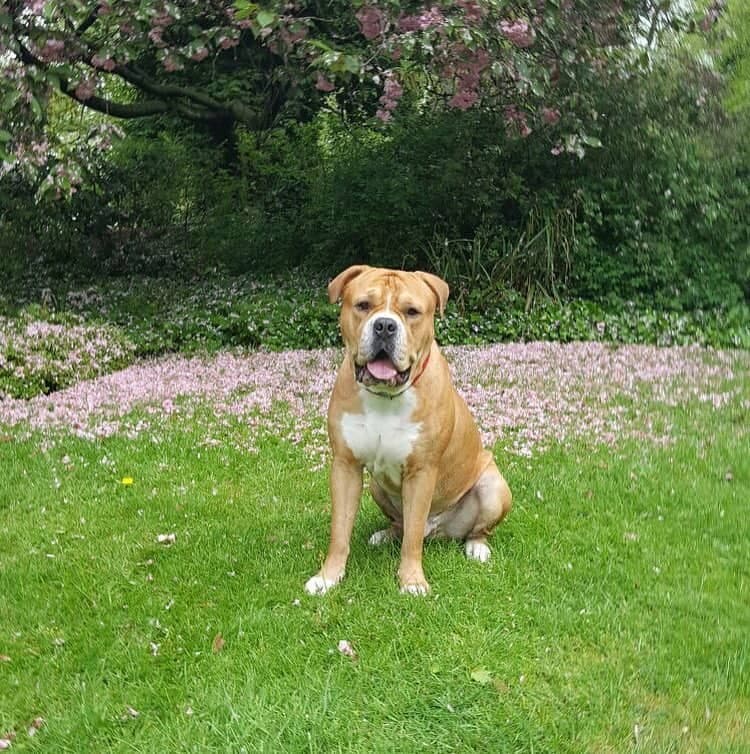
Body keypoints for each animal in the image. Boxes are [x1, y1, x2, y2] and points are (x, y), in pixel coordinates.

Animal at [304, 264, 512, 592]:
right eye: (363, 305)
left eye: (412, 311)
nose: (385, 326)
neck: (385, 397)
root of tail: (438, 531)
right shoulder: (345, 466)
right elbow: (339, 530)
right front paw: (328, 577)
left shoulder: (421, 472)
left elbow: (412, 538)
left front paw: (412, 580)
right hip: (376, 486)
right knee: (400, 523)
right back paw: (385, 534)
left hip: (494, 487)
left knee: (466, 529)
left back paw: (477, 547)